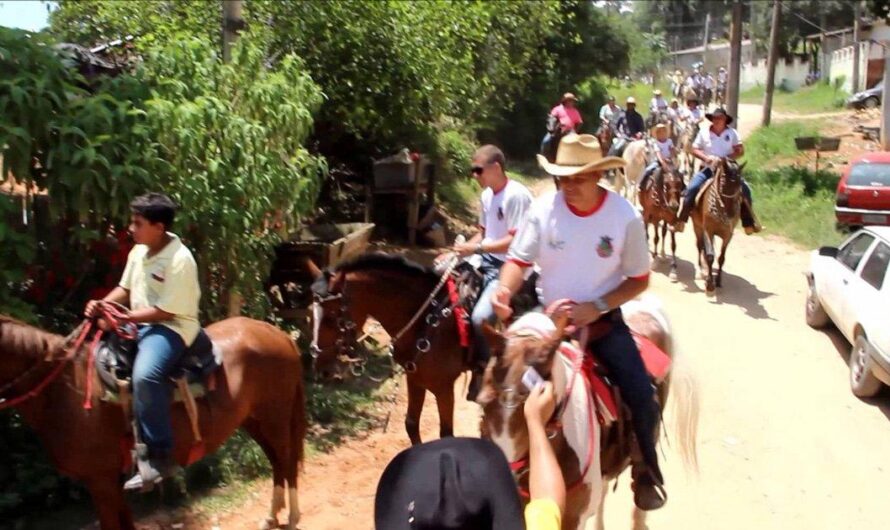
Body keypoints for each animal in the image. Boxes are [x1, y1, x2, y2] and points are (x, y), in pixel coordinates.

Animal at [0, 314, 306, 528]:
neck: (65, 389)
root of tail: (276, 333)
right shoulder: (110, 480)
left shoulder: (100, 479)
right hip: (255, 420)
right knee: (277, 463)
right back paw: (272, 516)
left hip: (275, 418)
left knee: (286, 461)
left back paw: (292, 516)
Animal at [306, 252, 464, 442]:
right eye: (309, 313)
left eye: (331, 317)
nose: (322, 370)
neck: (427, 320)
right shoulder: (414, 378)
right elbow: (411, 424)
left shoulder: (444, 388)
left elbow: (446, 434)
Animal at [688, 159, 744, 294]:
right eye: (722, 182)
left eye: (739, 184)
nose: (731, 213)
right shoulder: (708, 231)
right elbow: (710, 256)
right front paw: (709, 285)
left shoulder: (728, 235)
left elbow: (721, 258)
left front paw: (718, 281)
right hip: (697, 226)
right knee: (699, 246)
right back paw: (700, 270)